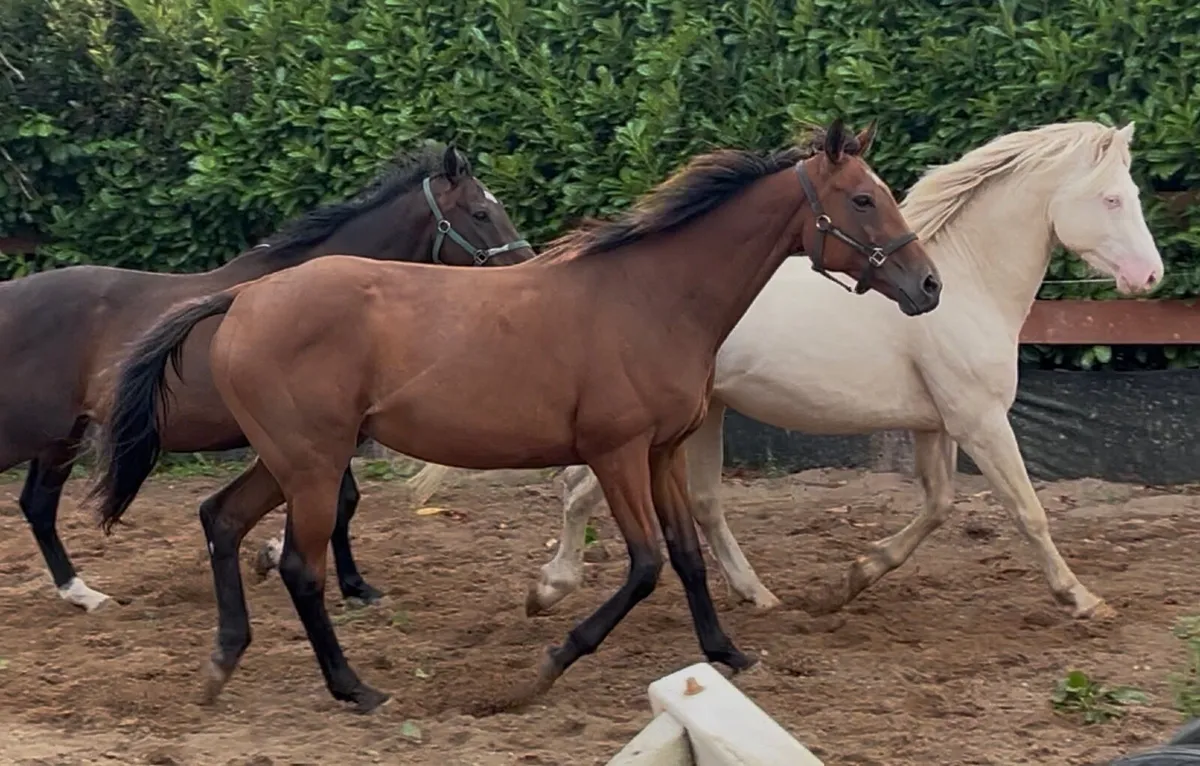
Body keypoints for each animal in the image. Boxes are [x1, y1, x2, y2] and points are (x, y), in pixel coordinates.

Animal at [0, 142, 532, 612]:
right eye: (480, 214)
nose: (524, 268)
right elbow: (342, 503)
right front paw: (335, 578)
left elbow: (342, 501)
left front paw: (320, 573)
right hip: (31, 433)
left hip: (62, 437)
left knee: (37, 505)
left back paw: (83, 595)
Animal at [89, 119, 943, 713]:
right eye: (862, 198)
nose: (928, 285)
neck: (653, 297)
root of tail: (244, 298)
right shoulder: (616, 451)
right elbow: (644, 566)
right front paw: (546, 664)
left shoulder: (663, 452)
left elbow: (687, 557)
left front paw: (730, 655)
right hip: (313, 462)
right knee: (299, 565)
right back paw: (355, 689)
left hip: (288, 459)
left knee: (222, 520)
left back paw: (220, 666)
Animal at [498, 120, 1160, 621]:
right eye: (1112, 199)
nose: (1150, 276)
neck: (971, 283)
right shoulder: (981, 420)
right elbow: (1028, 511)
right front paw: (1082, 599)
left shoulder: (937, 426)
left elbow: (939, 505)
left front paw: (849, 580)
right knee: (580, 488)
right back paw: (549, 588)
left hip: (702, 416)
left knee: (696, 500)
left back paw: (757, 595)